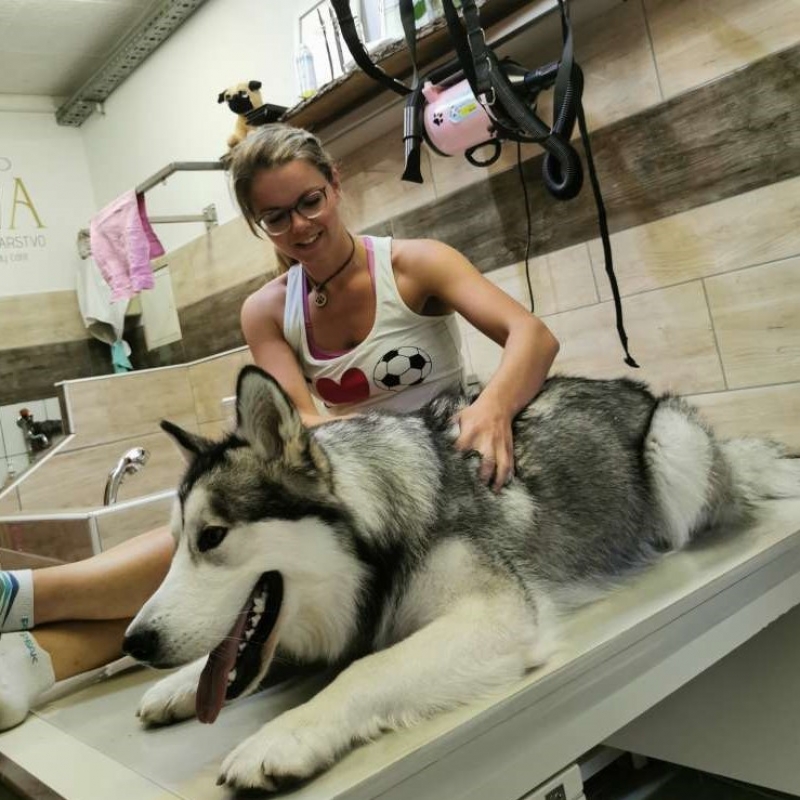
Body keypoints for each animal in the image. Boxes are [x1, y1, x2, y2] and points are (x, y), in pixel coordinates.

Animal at [123, 366, 800, 791]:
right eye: (175, 545)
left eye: (213, 537)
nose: (136, 641)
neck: (381, 524)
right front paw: (177, 686)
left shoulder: (495, 613)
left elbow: (367, 670)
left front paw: (285, 735)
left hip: (672, 443)